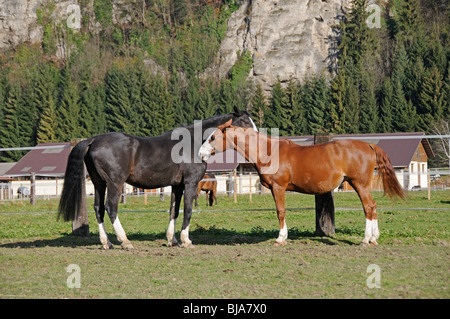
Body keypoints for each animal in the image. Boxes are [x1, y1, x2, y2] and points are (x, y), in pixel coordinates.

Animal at [58, 109, 256, 251]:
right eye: (245, 122)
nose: (256, 137)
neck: (193, 144)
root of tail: (92, 140)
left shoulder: (177, 186)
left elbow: (174, 211)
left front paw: (172, 240)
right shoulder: (190, 183)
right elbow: (188, 210)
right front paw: (186, 240)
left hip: (99, 183)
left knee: (98, 209)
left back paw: (107, 243)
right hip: (115, 183)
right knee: (110, 208)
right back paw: (125, 241)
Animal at [199, 120, 406, 248]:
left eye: (212, 137)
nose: (201, 154)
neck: (268, 151)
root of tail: (369, 145)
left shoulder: (278, 187)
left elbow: (280, 211)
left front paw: (281, 238)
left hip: (359, 185)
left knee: (368, 207)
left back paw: (366, 239)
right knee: (373, 206)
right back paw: (374, 239)